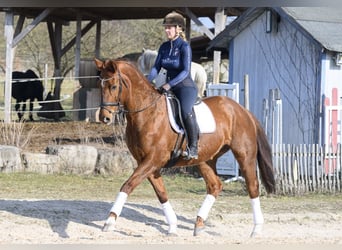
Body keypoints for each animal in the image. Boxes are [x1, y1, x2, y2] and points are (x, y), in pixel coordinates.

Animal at [95, 57, 276, 237]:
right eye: (100, 86)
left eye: (113, 86)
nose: (105, 118)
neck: (147, 112)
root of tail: (242, 110)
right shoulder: (147, 163)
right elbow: (161, 193)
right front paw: (172, 226)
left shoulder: (153, 160)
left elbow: (128, 185)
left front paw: (109, 221)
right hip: (205, 159)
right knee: (215, 186)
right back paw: (199, 223)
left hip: (244, 155)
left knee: (252, 186)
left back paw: (256, 229)